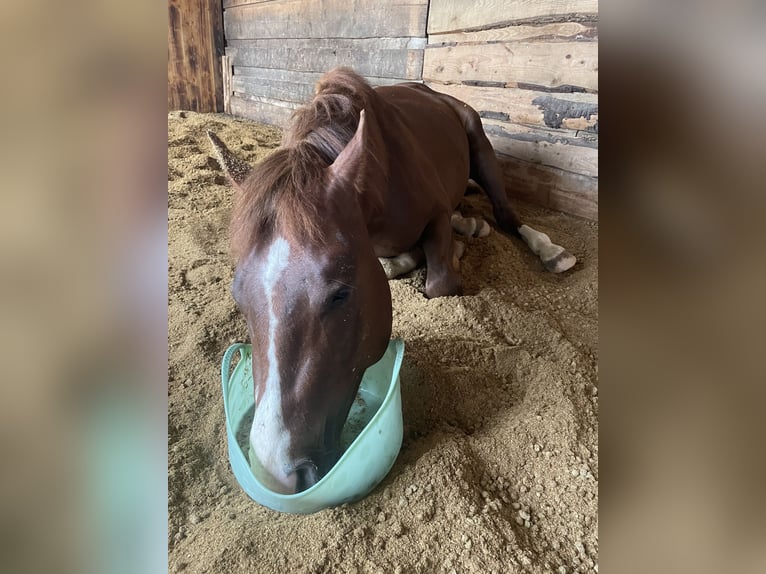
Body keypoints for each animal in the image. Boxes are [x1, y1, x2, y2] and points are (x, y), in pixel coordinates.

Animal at [208, 67, 576, 494]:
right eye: (238, 298)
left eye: (340, 295)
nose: (276, 471)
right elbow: (394, 266)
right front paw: (430, 251)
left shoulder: (433, 216)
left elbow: (439, 283)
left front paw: (453, 251)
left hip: (483, 150)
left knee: (505, 214)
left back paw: (547, 249)